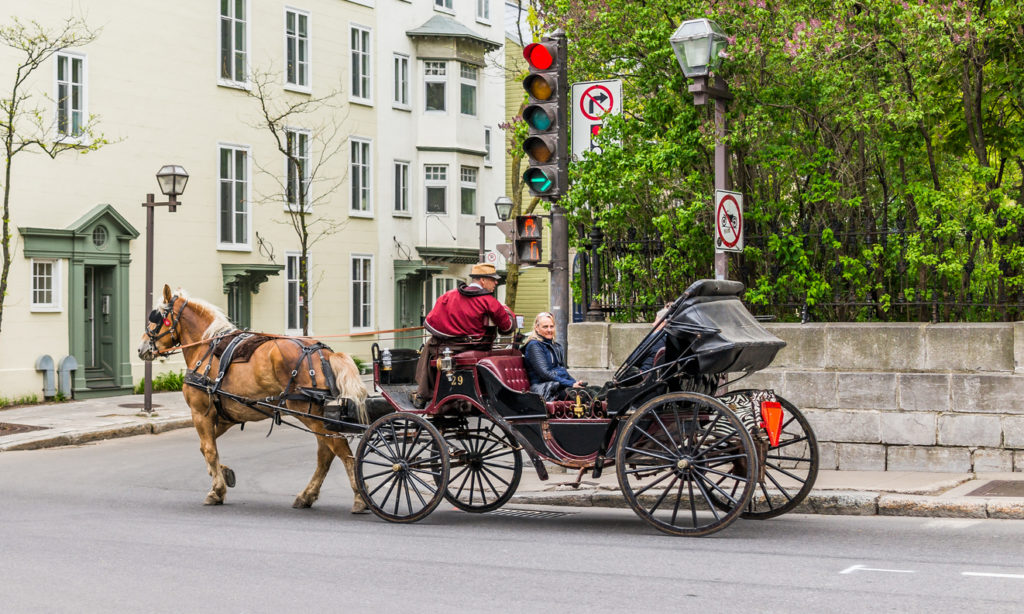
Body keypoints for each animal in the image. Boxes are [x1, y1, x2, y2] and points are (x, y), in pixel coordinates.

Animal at [138, 284, 370, 511]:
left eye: (155, 317)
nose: (141, 348)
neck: (206, 347)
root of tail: (326, 353)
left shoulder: (200, 412)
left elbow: (209, 450)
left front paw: (217, 490)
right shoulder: (225, 417)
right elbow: (206, 449)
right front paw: (223, 473)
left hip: (308, 414)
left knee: (339, 449)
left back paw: (359, 496)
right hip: (316, 415)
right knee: (326, 454)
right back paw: (307, 495)